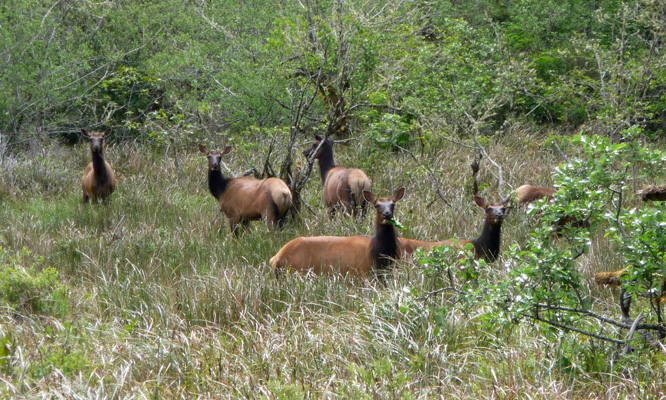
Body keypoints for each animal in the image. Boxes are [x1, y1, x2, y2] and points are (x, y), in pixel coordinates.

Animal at [270, 188, 404, 278]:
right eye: (377, 205)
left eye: (393, 204)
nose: (387, 214)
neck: (377, 253)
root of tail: (275, 258)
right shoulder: (360, 274)